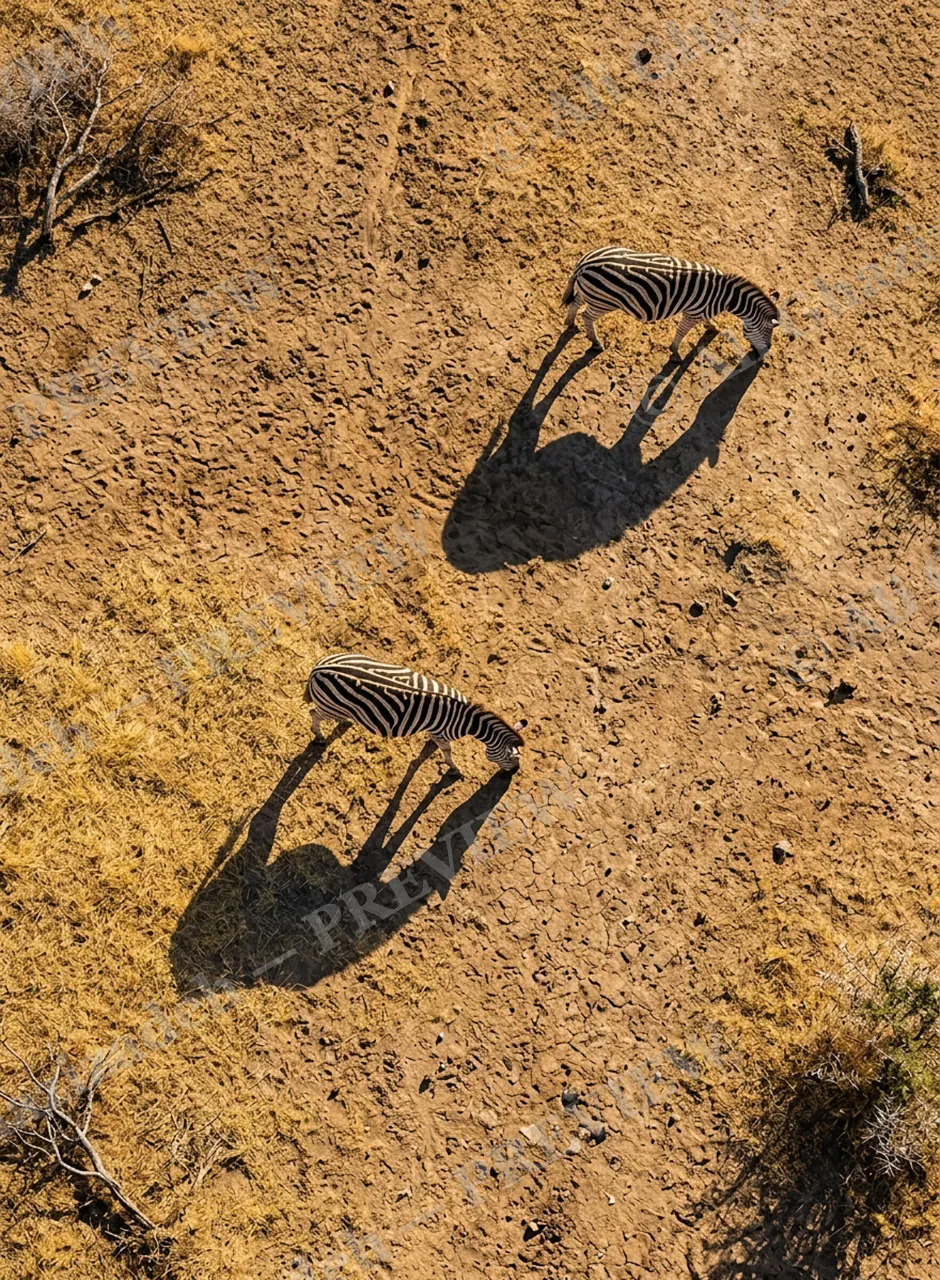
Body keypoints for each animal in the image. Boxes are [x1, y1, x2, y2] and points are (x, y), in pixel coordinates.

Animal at [304, 653, 526, 774]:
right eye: (512, 758)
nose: (515, 772)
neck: (467, 719)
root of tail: (319, 667)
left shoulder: (436, 731)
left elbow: (434, 746)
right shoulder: (442, 732)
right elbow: (447, 751)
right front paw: (453, 769)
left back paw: (346, 721)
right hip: (329, 706)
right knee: (314, 713)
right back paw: (319, 737)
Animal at [562, 246, 780, 358]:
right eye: (768, 331)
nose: (766, 352)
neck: (724, 295)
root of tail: (584, 263)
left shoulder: (701, 312)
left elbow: (707, 321)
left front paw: (713, 327)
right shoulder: (692, 313)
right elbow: (682, 332)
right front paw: (675, 353)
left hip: (590, 293)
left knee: (575, 304)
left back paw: (570, 324)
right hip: (604, 301)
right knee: (586, 316)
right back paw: (596, 343)